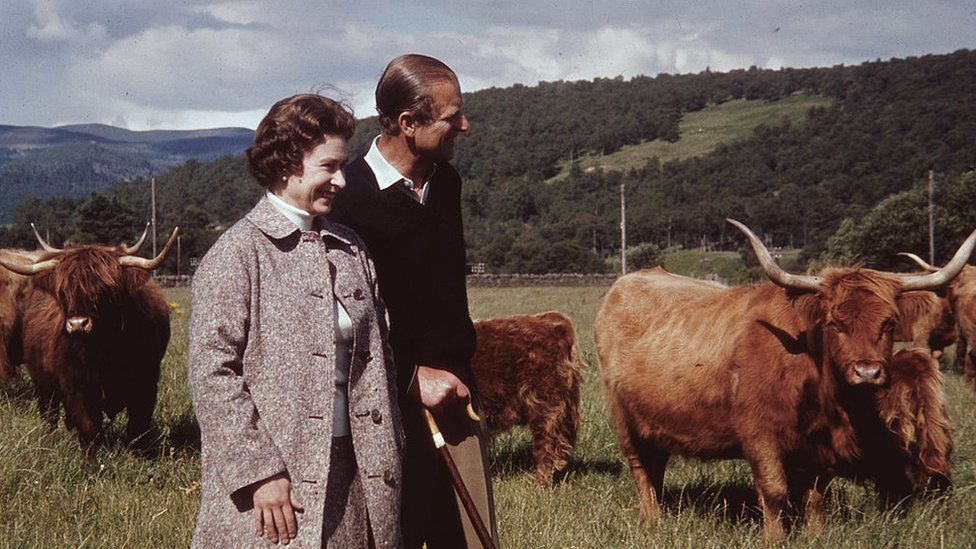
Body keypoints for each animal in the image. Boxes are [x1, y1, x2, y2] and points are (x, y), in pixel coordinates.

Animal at [0, 225, 173, 448]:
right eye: (63, 291)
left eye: (105, 290)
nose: (77, 324)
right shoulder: (77, 385)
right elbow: (88, 426)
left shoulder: (147, 381)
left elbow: (138, 427)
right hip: (42, 379)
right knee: (49, 412)